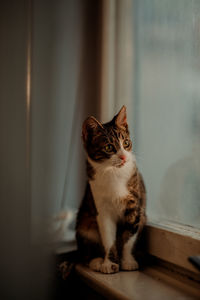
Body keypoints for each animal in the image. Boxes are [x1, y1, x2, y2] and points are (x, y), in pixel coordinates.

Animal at [76, 105, 146, 274]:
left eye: (126, 142)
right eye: (108, 147)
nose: (123, 157)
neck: (113, 173)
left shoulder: (135, 207)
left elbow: (129, 237)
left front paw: (127, 261)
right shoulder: (102, 209)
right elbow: (108, 237)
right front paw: (109, 263)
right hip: (84, 221)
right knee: (86, 248)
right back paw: (96, 261)